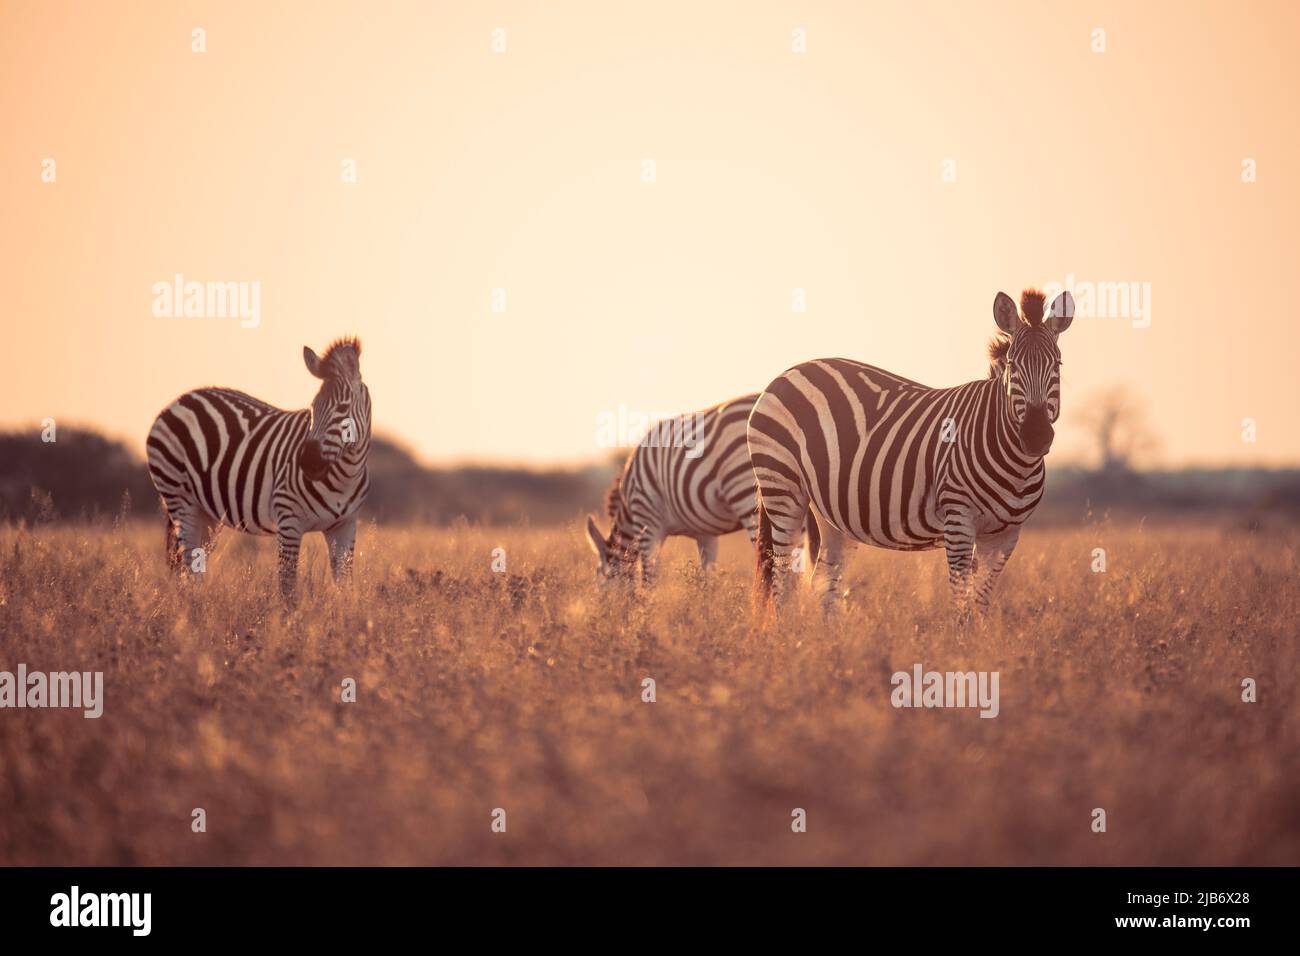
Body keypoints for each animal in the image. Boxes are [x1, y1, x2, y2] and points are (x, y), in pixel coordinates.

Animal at [146, 338, 371, 598]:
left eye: (343, 409)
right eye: (313, 406)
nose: (307, 462)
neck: (345, 476)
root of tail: (178, 401)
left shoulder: (345, 526)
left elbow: (345, 587)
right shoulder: (288, 521)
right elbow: (287, 587)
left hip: (206, 513)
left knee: (193, 570)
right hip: (179, 498)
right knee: (188, 568)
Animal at [585, 395, 785, 587]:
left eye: (600, 583)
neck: (628, 510)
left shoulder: (647, 522)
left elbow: (648, 578)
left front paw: (649, 601)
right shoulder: (706, 534)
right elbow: (708, 577)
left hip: (745, 493)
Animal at [748, 287, 1071, 621]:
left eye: (1058, 365)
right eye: (1012, 365)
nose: (1035, 436)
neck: (1014, 461)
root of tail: (787, 373)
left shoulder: (1006, 535)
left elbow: (981, 603)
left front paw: (984, 636)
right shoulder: (958, 519)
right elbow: (962, 601)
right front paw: (963, 636)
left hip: (829, 511)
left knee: (824, 577)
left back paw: (832, 635)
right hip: (782, 488)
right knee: (782, 577)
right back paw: (787, 632)